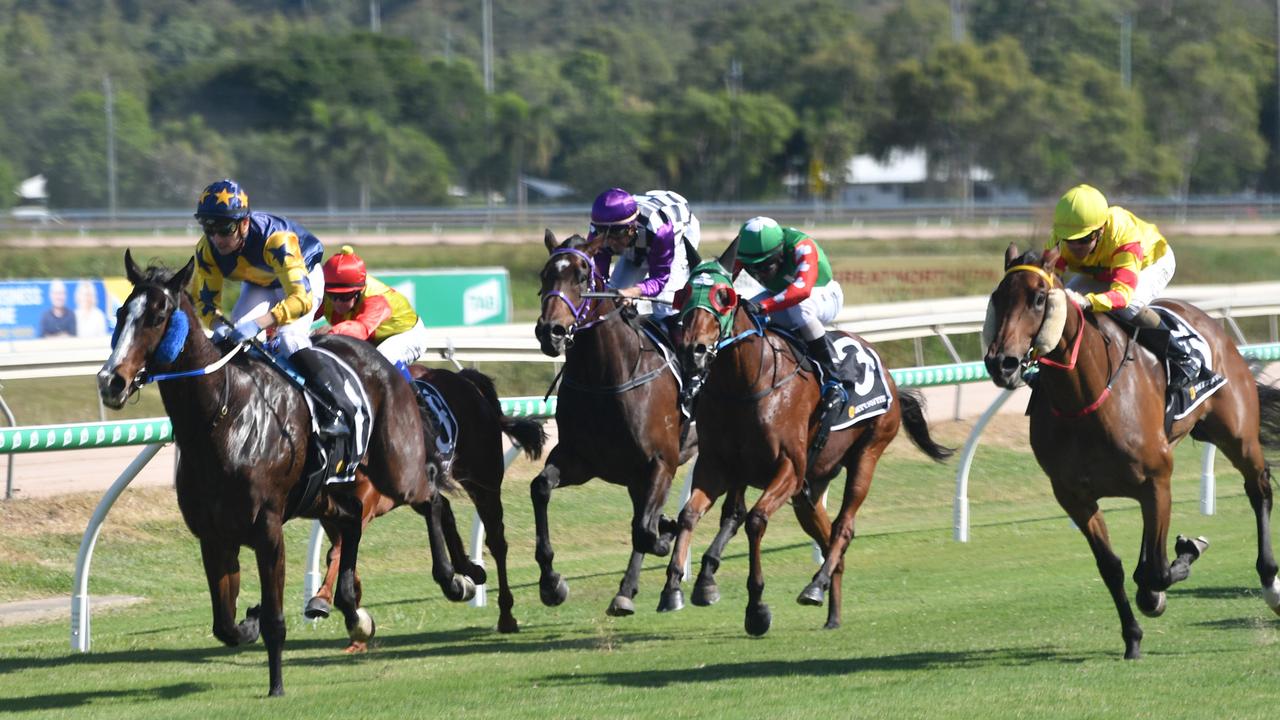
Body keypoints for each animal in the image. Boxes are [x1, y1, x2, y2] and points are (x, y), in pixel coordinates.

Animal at [96, 251, 476, 691]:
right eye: (121, 313)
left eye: (157, 316)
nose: (111, 381)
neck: (224, 418)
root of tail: (385, 363)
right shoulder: (213, 536)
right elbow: (224, 625)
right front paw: (250, 620)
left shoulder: (267, 529)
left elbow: (275, 621)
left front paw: (275, 685)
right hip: (330, 495)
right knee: (356, 524)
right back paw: (356, 612)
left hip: (395, 470)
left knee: (431, 497)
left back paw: (457, 578)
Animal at [309, 361, 550, 635]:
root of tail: (463, 379)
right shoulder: (329, 510)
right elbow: (336, 550)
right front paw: (329, 598)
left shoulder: (367, 500)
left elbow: (340, 548)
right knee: (444, 509)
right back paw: (469, 569)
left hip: (483, 479)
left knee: (496, 540)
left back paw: (505, 613)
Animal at [532, 228, 701, 609]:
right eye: (545, 275)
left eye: (582, 276)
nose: (550, 332)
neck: (606, 377)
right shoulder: (582, 460)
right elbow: (541, 488)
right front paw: (551, 582)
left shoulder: (662, 462)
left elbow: (645, 529)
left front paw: (664, 535)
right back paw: (626, 591)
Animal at [660, 240, 952, 632]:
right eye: (685, 292)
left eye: (724, 296)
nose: (692, 350)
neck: (746, 383)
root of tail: (889, 375)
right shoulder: (718, 465)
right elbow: (691, 515)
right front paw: (676, 587)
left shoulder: (788, 467)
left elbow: (754, 521)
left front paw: (756, 607)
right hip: (809, 490)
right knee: (828, 535)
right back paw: (833, 611)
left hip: (867, 453)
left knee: (843, 527)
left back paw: (816, 586)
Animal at [983, 244, 1280, 655]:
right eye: (998, 297)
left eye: (1039, 298)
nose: (1002, 363)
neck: (1085, 399)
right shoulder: (1074, 497)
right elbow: (1113, 567)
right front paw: (1133, 635)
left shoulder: (1157, 481)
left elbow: (1156, 570)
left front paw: (1185, 554)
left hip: (1237, 435)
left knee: (1259, 489)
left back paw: (1270, 584)